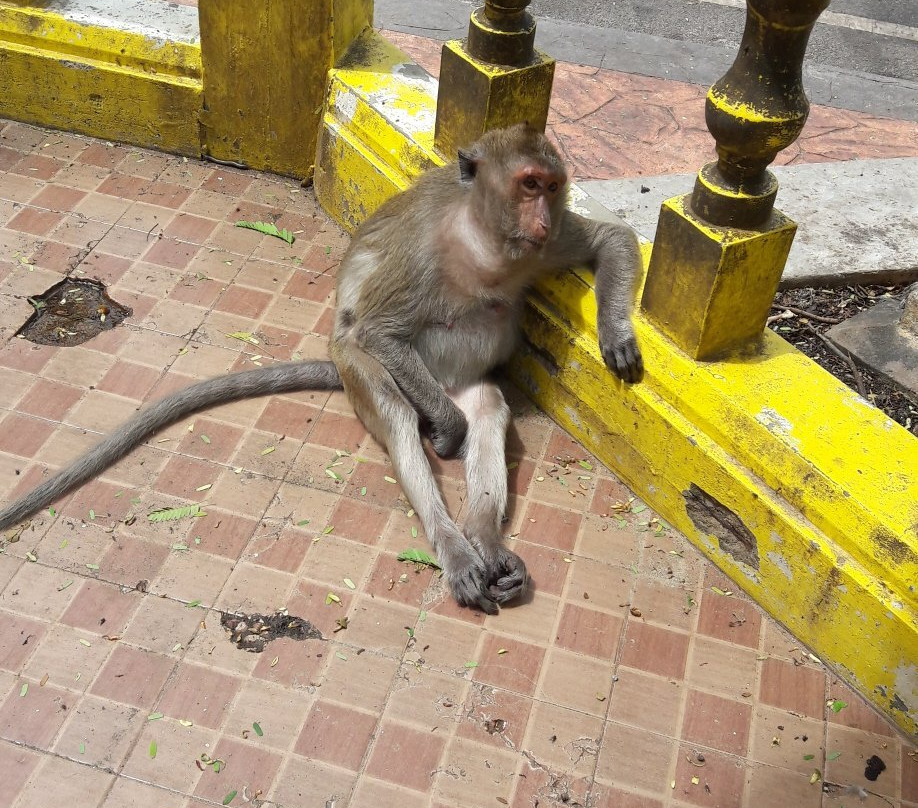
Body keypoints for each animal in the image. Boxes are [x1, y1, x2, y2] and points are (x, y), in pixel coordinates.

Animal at [0, 123, 644, 612]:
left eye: (553, 187)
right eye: (528, 184)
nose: (542, 218)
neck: (486, 243)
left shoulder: (545, 245)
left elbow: (613, 240)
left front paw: (617, 334)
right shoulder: (422, 251)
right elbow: (378, 331)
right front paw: (445, 434)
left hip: (458, 382)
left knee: (487, 410)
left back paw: (485, 540)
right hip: (363, 370)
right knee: (394, 404)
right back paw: (453, 540)